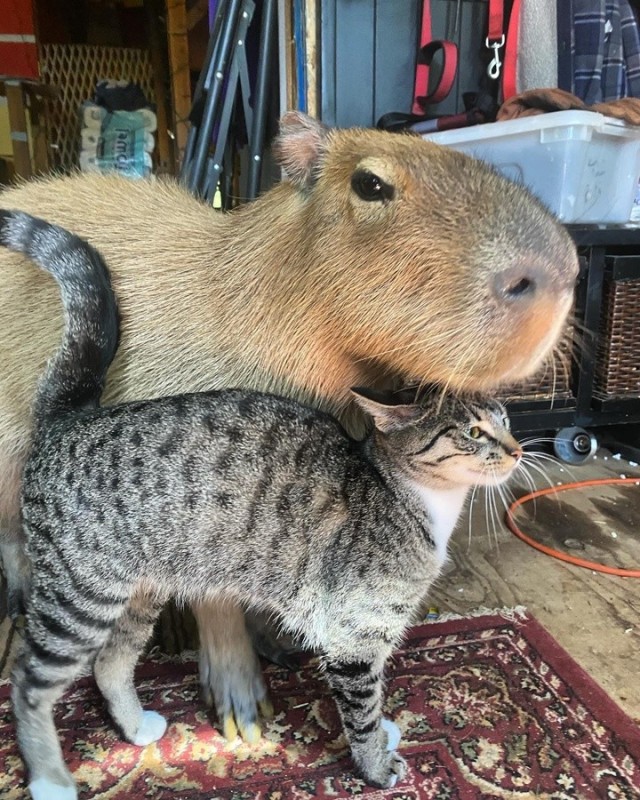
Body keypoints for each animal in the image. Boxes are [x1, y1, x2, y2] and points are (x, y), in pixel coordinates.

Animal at [5, 209, 524, 796]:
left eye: (505, 419)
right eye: (472, 432)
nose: (517, 449)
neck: (413, 498)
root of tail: (70, 416)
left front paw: (389, 733)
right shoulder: (355, 635)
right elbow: (363, 708)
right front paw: (376, 765)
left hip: (137, 591)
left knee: (109, 662)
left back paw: (135, 728)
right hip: (80, 596)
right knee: (28, 682)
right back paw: (49, 776)